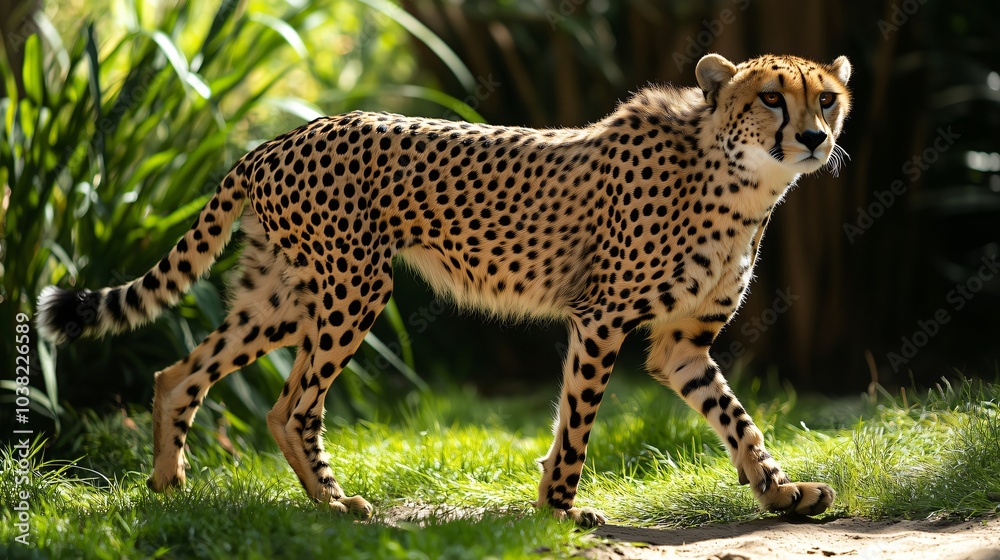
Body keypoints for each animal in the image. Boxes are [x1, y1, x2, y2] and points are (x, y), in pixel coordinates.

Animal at [37, 52, 852, 527]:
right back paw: (333, 504)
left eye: (828, 100)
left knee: (181, 375)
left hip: (280, 296)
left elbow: (737, 419)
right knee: (292, 406)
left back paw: (170, 491)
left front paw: (781, 494)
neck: (743, 181)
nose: (815, 139)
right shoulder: (601, 318)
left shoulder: (680, 345)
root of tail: (281, 136)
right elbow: (577, 423)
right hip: (354, 288)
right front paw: (559, 512)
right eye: (772, 98)